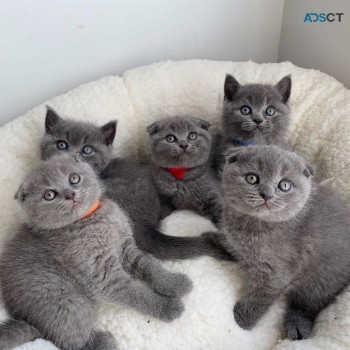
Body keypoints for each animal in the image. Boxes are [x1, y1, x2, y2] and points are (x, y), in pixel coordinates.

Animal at [0, 157, 191, 350]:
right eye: (49, 195)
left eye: (74, 178)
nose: (70, 194)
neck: (91, 219)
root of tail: (29, 320)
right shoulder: (103, 276)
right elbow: (136, 294)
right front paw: (167, 306)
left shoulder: (126, 246)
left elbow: (149, 266)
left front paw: (174, 283)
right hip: (70, 303)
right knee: (66, 340)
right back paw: (103, 342)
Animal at [221, 145, 350, 340]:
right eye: (252, 178)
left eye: (284, 185)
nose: (267, 195)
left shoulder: (275, 271)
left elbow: (260, 297)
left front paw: (240, 320)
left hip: (322, 277)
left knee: (309, 304)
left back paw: (296, 324)